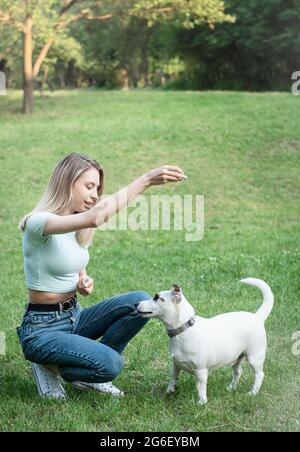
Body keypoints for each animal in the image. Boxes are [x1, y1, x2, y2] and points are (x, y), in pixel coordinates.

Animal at [138, 278, 274, 404]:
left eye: (157, 297)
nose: (136, 304)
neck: (184, 329)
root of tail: (257, 317)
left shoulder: (201, 371)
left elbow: (200, 387)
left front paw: (201, 402)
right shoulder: (175, 364)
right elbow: (172, 376)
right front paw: (170, 390)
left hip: (254, 357)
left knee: (259, 374)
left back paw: (253, 392)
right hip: (237, 356)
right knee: (238, 371)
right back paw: (231, 388)